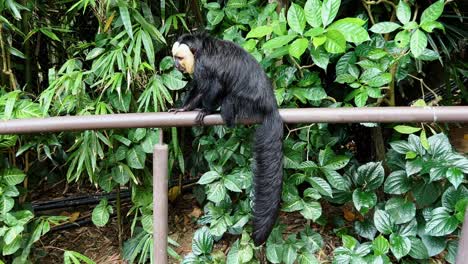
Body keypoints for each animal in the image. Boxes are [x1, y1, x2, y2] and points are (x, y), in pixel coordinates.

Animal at [171, 33, 284, 245]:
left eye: (179, 58)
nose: (175, 65)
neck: (199, 52)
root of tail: (270, 105)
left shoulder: (203, 65)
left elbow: (214, 86)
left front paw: (206, 110)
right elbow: (199, 89)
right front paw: (184, 108)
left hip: (248, 105)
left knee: (228, 99)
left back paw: (224, 115)